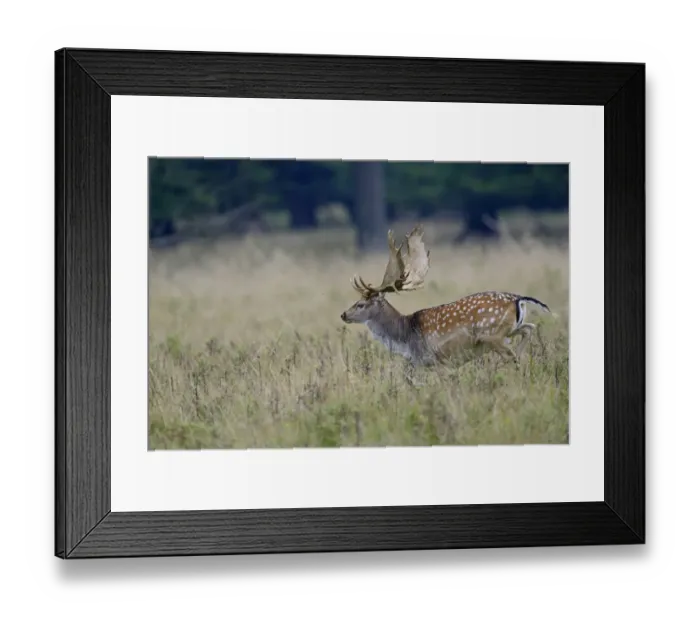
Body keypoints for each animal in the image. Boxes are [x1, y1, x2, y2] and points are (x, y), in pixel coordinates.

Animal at [340, 224, 551, 376]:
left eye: (361, 304)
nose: (343, 314)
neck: (406, 336)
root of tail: (518, 298)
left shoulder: (436, 360)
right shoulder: (420, 363)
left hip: (492, 335)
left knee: (512, 353)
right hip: (510, 329)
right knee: (529, 329)